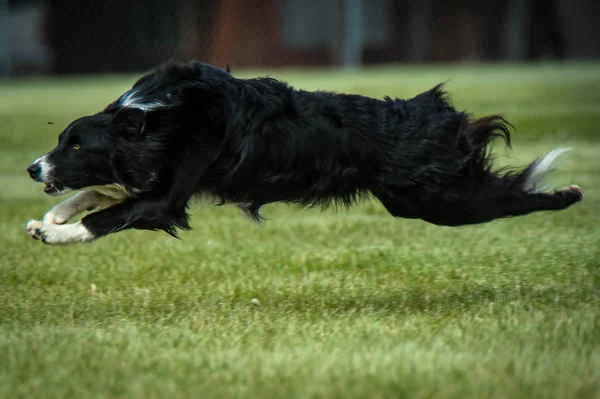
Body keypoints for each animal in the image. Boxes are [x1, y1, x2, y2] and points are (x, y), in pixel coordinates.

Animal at [25, 60, 584, 245]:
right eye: (61, 140)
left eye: (77, 144)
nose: (32, 167)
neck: (156, 118)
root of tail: (436, 113)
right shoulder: (151, 171)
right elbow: (97, 193)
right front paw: (48, 218)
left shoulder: (168, 194)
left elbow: (109, 214)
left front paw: (56, 234)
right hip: (418, 200)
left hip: (443, 201)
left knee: (514, 196)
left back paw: (568, 195)